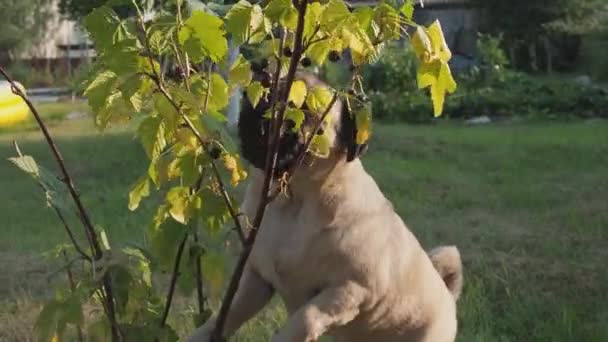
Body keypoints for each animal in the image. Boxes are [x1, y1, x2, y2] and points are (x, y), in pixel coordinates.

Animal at [192, 70, 464, 342]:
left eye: (306, 110)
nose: (268, 99)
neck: (293, 201)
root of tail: (448, 296)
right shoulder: (257, 281)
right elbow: (227, 315)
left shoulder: (349, 290)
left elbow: (305, 319)